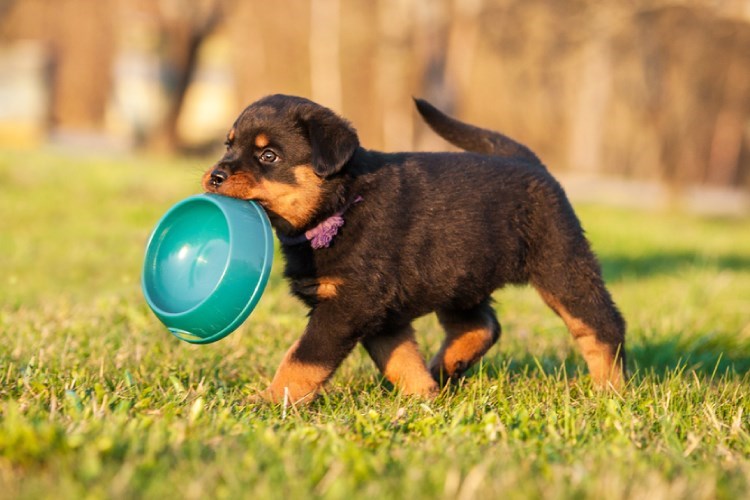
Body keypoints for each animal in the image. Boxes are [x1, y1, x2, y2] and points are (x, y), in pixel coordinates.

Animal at [201, 94, 628, 402]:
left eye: (268, 156)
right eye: (228, 146)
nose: (215, 175)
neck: (341, 204)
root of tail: (530, 162)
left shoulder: (349, 303)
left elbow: (303, 357)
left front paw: (269, 400)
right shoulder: (380, 312)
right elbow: (401, 358)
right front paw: (423, 397)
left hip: (561, 264)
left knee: (601, 325)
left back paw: (611, 389)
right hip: (461, 275)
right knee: (481, 325)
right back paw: (445, 367)